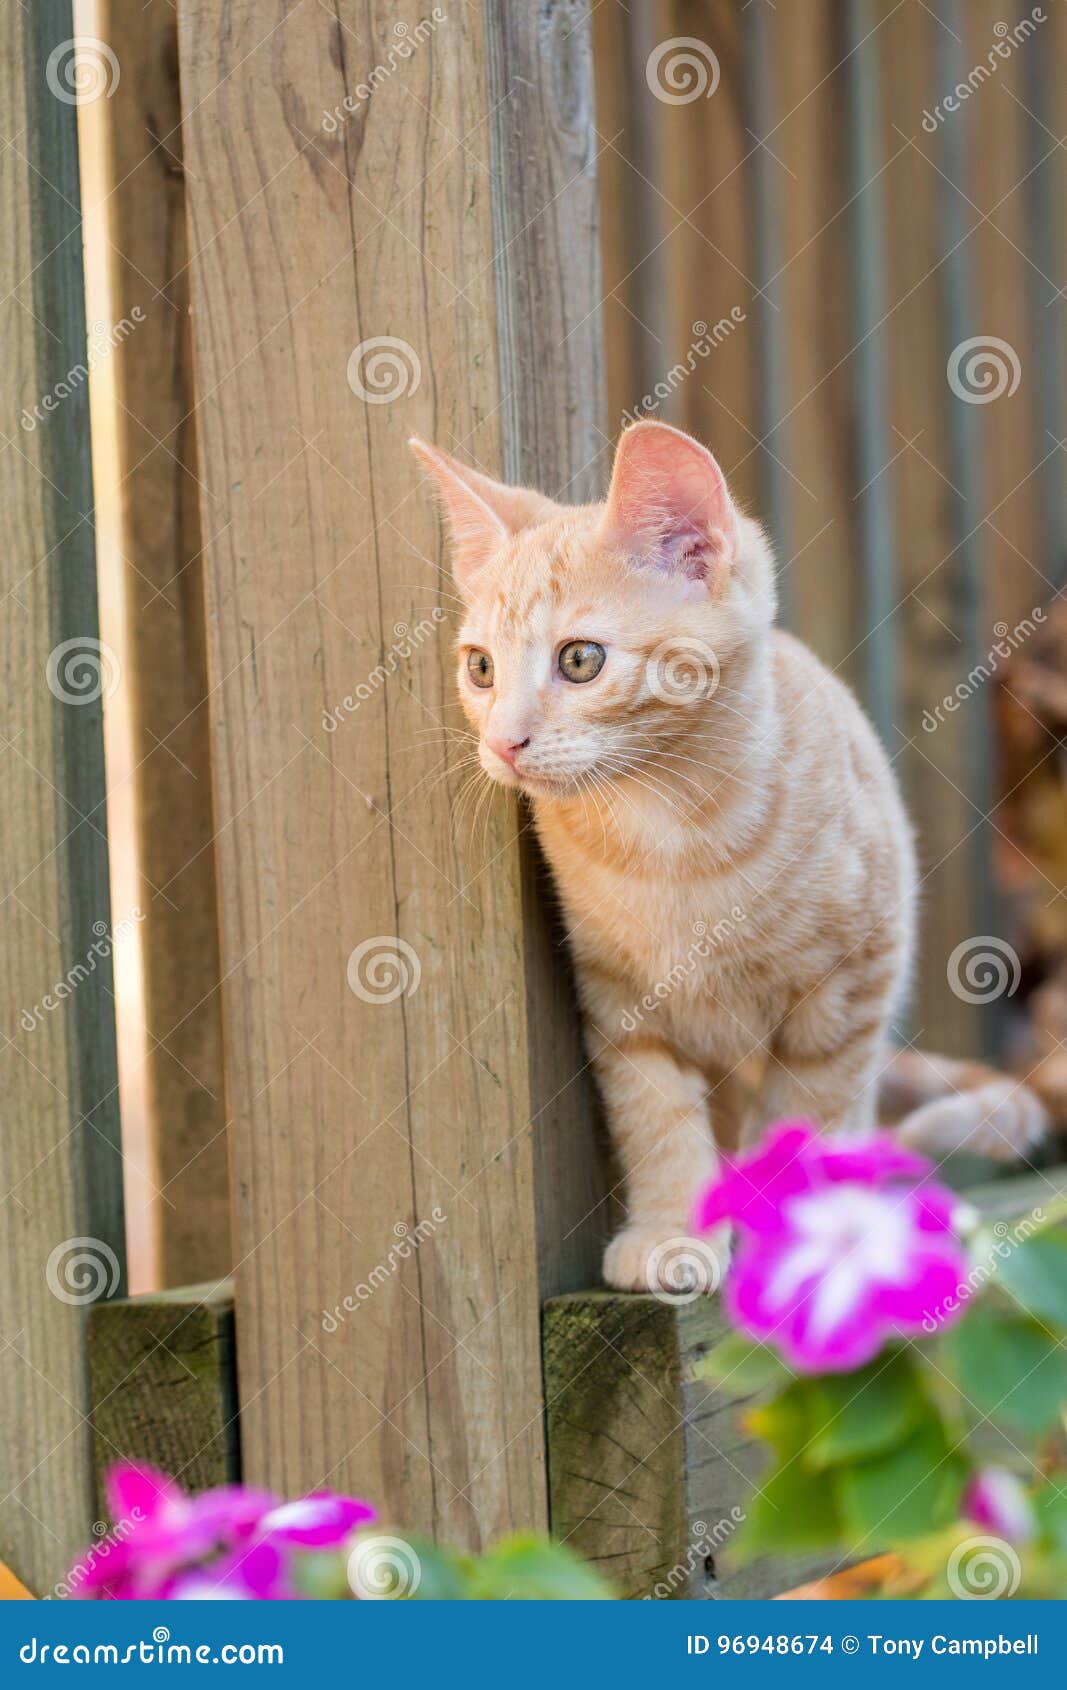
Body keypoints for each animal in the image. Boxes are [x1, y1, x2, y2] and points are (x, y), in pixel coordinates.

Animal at [412, 422, 1048, 1291]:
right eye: (479, 668)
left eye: (579, 660)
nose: (503, 742)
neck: (669, 833)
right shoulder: (619, 1005)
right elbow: (654, 1115)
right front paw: (671, 1231)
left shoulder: (850, 990)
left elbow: (807, 1109)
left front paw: (795, 1230)